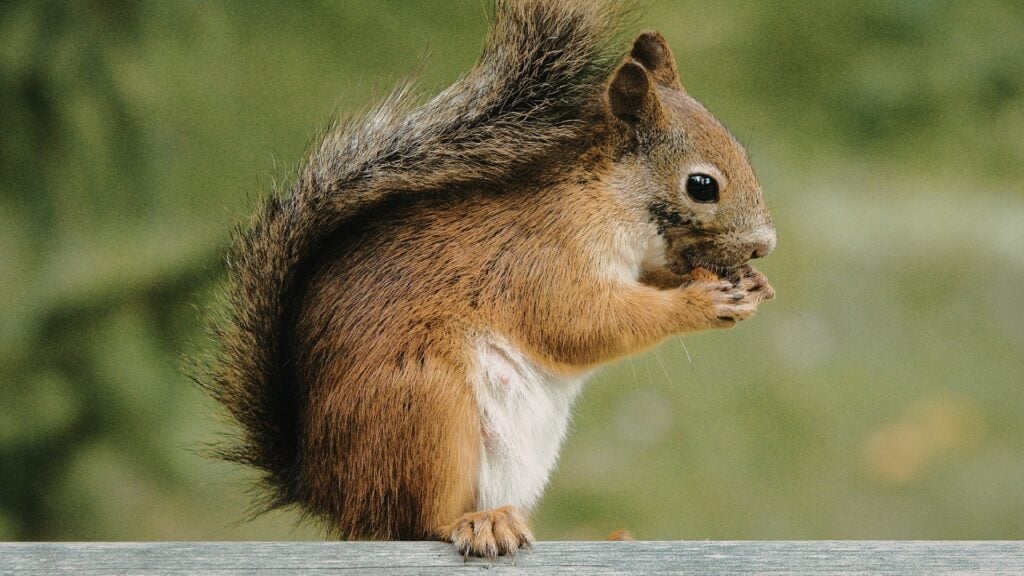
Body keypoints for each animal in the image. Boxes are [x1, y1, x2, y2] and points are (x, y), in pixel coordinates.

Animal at [204, 0, 775, 559]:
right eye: (702, 185)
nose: (764, 245)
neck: (603, 196)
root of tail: (326, 492)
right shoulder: (542, 258)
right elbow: (583, 323)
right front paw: (701, 302)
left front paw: (751, 285)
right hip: (424, 411)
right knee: (414, 523)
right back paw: (479, 525)